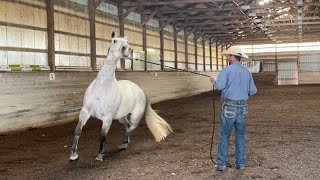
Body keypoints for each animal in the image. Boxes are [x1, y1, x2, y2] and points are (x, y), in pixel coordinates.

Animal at [69, 31, 171, 161]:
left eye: (127, 42)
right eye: (114, 40)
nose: (127, 49)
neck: (101, 88)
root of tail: (141, 91)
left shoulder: (107, 118)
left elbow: (102, 137)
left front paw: (100, 155)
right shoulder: (85, 112)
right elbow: (77, 131)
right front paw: (73, 155)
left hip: (135, 115)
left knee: (131, 127)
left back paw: (124, 144)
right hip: (121, 117)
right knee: (127, 126)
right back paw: (124, 142)